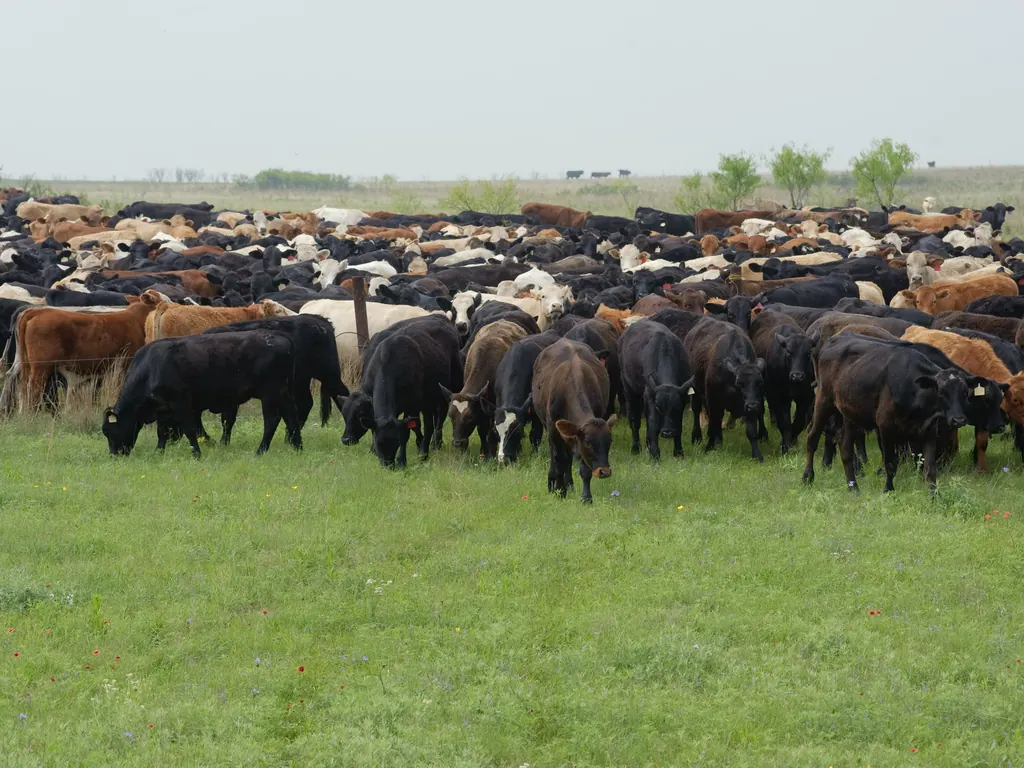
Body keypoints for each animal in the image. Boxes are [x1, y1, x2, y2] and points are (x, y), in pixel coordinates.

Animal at [102, 331, 302, 458]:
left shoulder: (182, 403)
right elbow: (162, 432)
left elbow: (190, 429)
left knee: (272, 420)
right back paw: (298, 446)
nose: (113, 455)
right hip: (284, 393)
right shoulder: (163, 408)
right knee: (292, 416)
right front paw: (158, 452)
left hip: (270, 393)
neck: (152, 367)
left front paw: (196, 453)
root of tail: (280, 337)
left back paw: (261, 450)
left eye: (109, 431)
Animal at [532, 339, 616, 503]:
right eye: (588, 443)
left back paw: (569, 484)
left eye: (609, 442)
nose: (604, 472)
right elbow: (559, 461)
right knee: (557, 457)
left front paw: (586, 497)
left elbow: (583, 468)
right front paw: (559, 491)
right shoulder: (553, 430)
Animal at [618, 320, 691, 460]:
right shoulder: (649, 396)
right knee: (634, 419)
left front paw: (678, 452)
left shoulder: (683, 398)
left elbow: (678, 424)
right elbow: (653, 422)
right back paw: (636, 447)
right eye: (658, 407)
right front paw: (655, 454)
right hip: (629, 390)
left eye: (676, 407)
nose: (667, 432)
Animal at [684, 318, 766, 461]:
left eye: (759, 382)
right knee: (696, 411)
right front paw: (709, 446)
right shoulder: (713, 400)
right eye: (740, 383)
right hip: (695, 387)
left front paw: (757, 455)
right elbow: (714, 422)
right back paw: (697, 437)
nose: (753, 405)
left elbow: (751, 431)